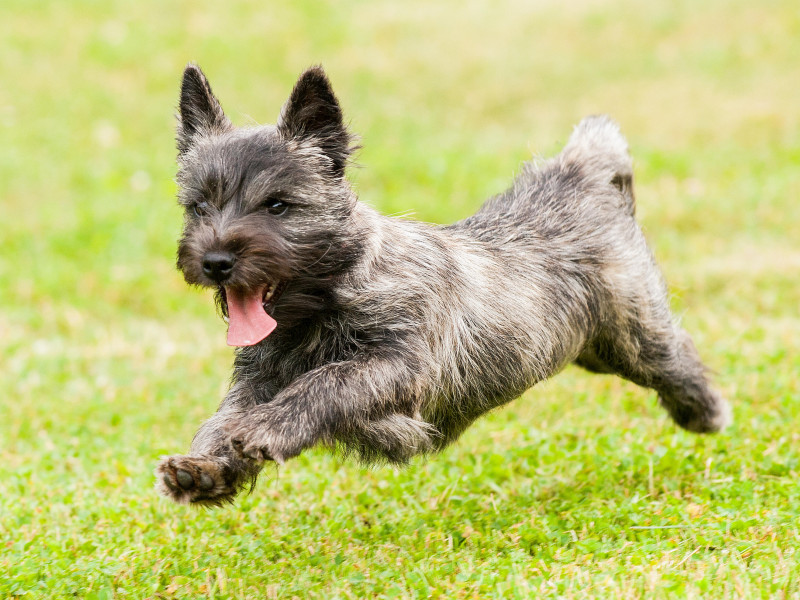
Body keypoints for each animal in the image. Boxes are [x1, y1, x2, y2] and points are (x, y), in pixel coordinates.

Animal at [156, 64, 732, 506]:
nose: (214, 261)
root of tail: (576, 173)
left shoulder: (400, 364)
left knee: (676, 354)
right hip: (590, 348)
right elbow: (226, 415)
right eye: (199, 206)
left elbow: (325, 383)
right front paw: (203, 469)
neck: (327, 298)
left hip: (634, 331)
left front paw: (269, 428)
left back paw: (705, 412)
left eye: (277, 205)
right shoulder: (256, 377)